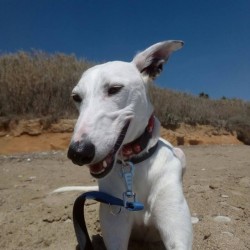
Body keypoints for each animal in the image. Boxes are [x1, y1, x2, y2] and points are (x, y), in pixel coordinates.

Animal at [56, 40, 191, 249]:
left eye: (115, 88)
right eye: (76, 97)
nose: (78, 152)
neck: (135, 164)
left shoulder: (175, 228)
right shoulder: (115, 225)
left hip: (180, 154)